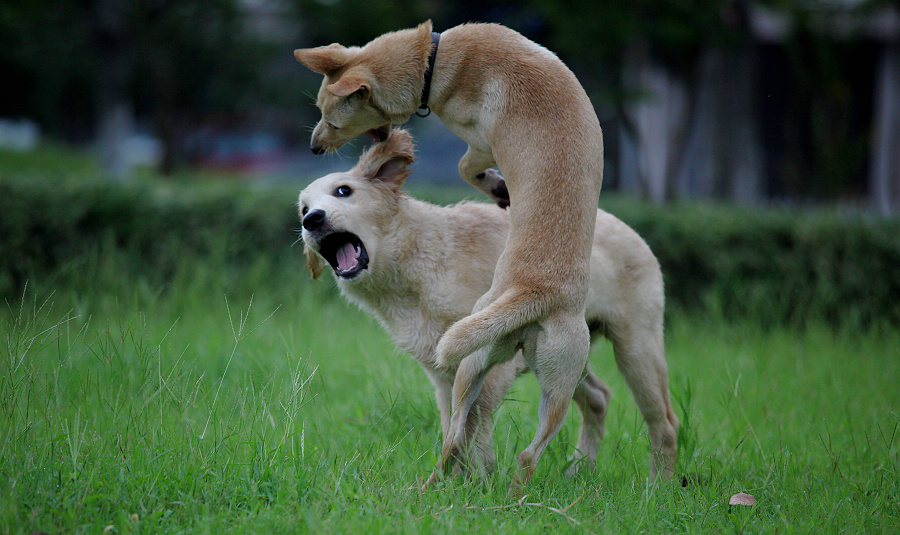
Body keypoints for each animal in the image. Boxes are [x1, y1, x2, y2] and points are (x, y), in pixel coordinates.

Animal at [298, 131, 680, 490]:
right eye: (302, 209)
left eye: (344, 191)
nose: (312, 220)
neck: (421, 257)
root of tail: (632, 231)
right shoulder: (443, 375)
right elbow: (453, 429)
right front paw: (457, 484)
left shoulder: (491, 368)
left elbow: (474, 424)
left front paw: (480, 483)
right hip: (566, 361)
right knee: (599, 398)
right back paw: (578, 471)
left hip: (636, 351)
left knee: (665, 423)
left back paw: (658, 488)